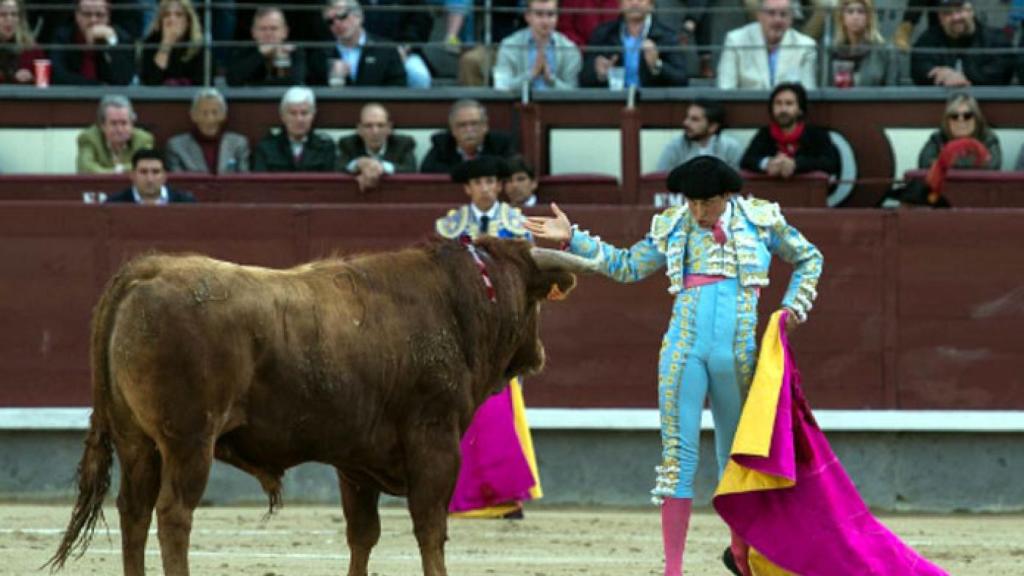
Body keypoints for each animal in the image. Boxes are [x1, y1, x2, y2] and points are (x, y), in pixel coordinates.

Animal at [48, 235, 593, 569]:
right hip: (188, 441)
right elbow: (430, 529)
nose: (539, 355)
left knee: (134, 511)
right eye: (537, 299)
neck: (457, 305)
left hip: (136, 440)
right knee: (174, 514)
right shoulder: (435, 443)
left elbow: (363, 534)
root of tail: (148, 270)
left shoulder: (356, 461)